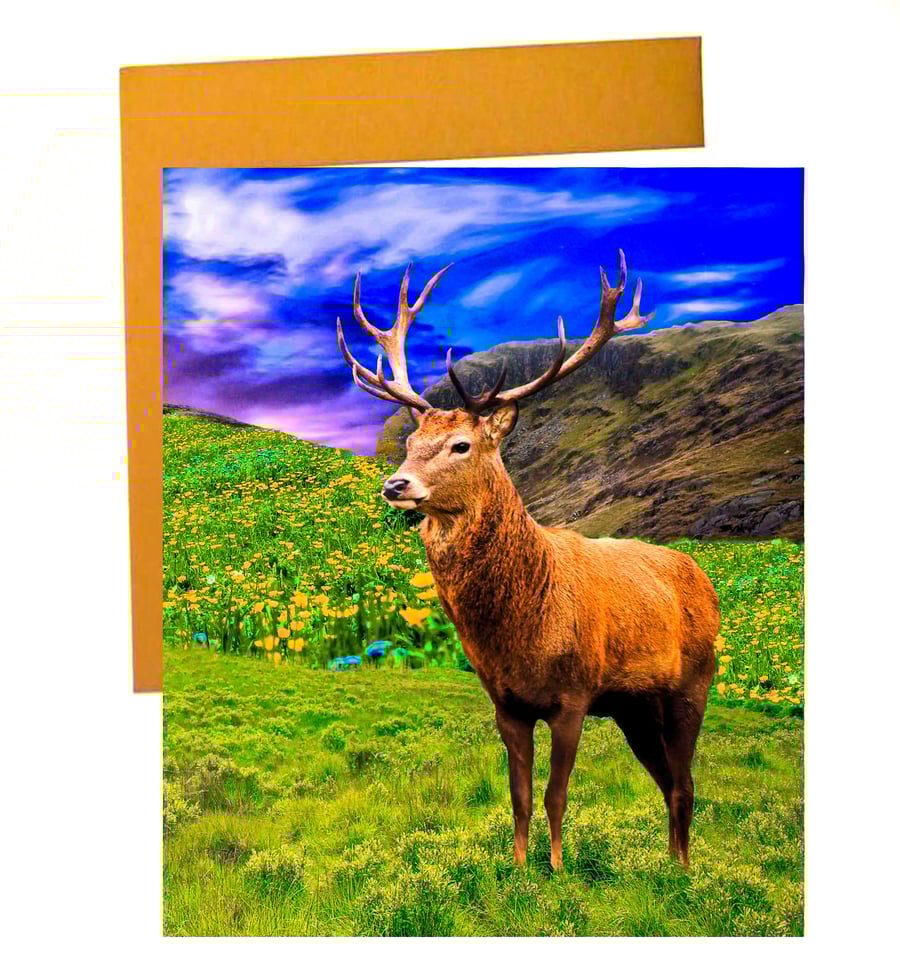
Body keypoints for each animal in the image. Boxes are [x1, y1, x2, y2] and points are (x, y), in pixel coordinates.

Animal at [335, 250, 720, 870]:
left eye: (462, 445)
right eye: (412, 440)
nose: (395, 484)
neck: (523, 629)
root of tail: (705, 580)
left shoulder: (574, 695)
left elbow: (554, 794)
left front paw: (557, 871)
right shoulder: (507, 703)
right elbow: (516, 794)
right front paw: (517, 868)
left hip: (692, 684)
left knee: (684, 782)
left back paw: (684, 872)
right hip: (635, 708)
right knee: (667, 782)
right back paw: (669, 863)